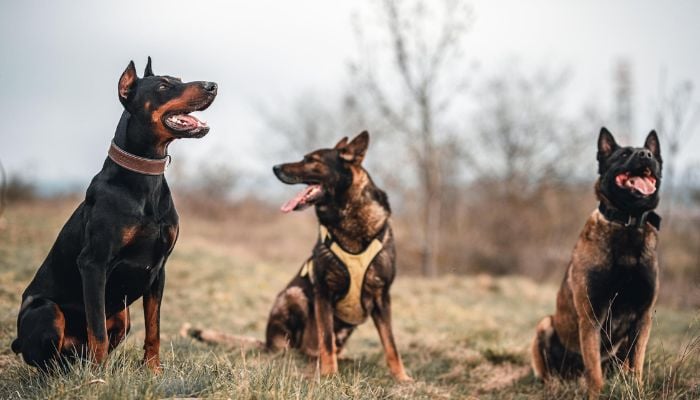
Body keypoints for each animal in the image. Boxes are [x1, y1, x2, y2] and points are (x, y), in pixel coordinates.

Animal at [12, 57, 216, 370]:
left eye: (179, 79)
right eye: (163, 86)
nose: (212, 85)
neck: (144, 179)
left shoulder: (159, 270)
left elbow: (154, 329)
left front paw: (153, 371)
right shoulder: (93, 263)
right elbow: (97, 330)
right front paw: (99, 377)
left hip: (123, 315)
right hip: (47, 310)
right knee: (49, 360)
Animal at [266, 131, 410, 382]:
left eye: (311, 160)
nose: (275, 167)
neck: (348, 218)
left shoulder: (382, 297)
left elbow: (391, 344)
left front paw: (401, 378)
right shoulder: (323, 292)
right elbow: (326, 340)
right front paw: (329, 375)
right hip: (295, 296)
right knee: (296, 348)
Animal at [532, 127, 660, 396]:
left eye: (651, 154)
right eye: (624, 154)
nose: (646, 155)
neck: (627, 223)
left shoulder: (643, 318)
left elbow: (637, 365)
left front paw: (637, 390)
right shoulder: (591, 318)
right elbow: (594, 372)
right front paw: (597, 394)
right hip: (545, 325)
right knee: (551, 372)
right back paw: (555, 385)